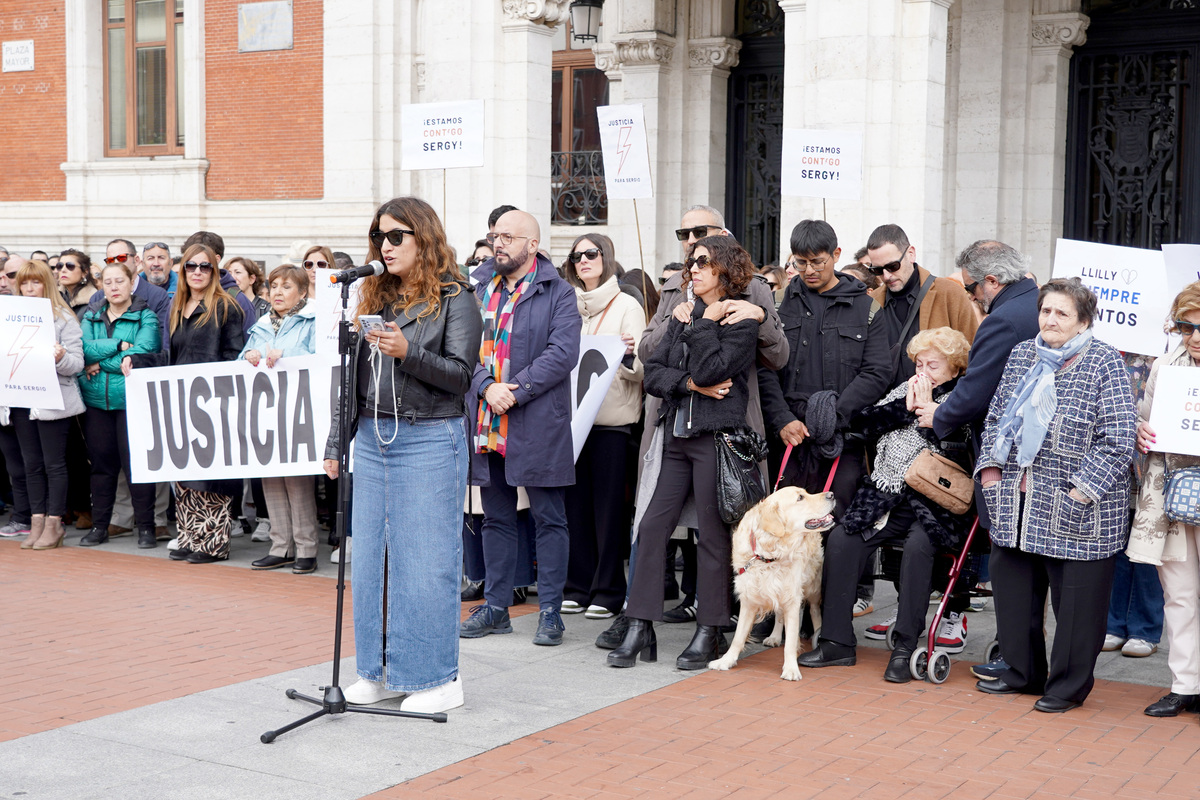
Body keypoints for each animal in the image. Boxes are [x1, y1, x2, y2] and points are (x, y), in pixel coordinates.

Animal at [705, 489, 830, 681]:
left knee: (815, 611)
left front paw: (791, 669)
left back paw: (818, 636)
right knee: (779, 614)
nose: (831, 495)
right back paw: (775, 637)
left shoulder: (792, 597)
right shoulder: (749, 599)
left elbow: (790, 641)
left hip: (812, 587)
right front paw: (726, 661)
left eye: (806, 493)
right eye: (800, 497)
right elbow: (738, 637)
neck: (768, 554)